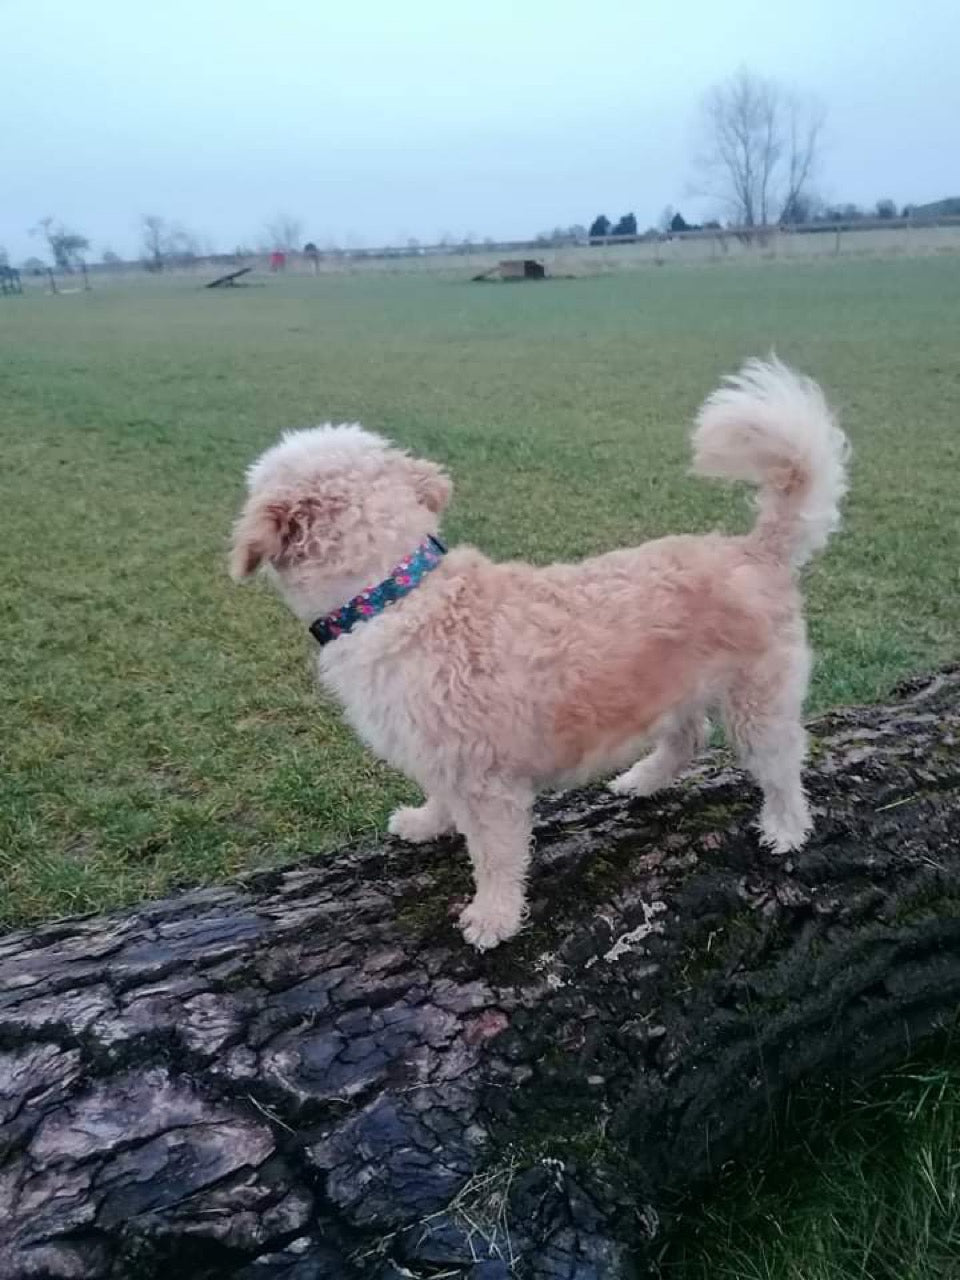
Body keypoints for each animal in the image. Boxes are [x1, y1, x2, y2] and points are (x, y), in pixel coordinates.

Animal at [231, 360, 849, 952]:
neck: (394, 593)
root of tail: (755, 548)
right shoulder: (443, 756)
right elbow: (441, 797)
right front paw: (426, 822)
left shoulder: (488, 781)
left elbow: (496, 856)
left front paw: (493, 917)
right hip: (669, 687)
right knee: (688, 738)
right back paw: (641, 779)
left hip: (757, 700)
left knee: (782, 764)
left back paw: (785, 827)